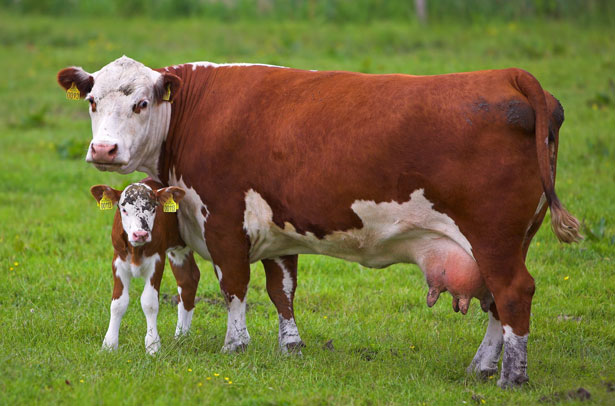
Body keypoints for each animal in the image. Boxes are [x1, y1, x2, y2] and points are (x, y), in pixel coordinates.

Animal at [90, 179, 201, 354]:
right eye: (123, 209)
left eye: (153, 208)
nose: (141, 234)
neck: (136, 250)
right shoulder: (118, 261)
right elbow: (118, 303)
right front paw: (109, 345)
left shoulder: (157, 261)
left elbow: (149, 303)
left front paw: (152, 345)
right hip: (179, 251)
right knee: (188, 279)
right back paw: (181, 337)